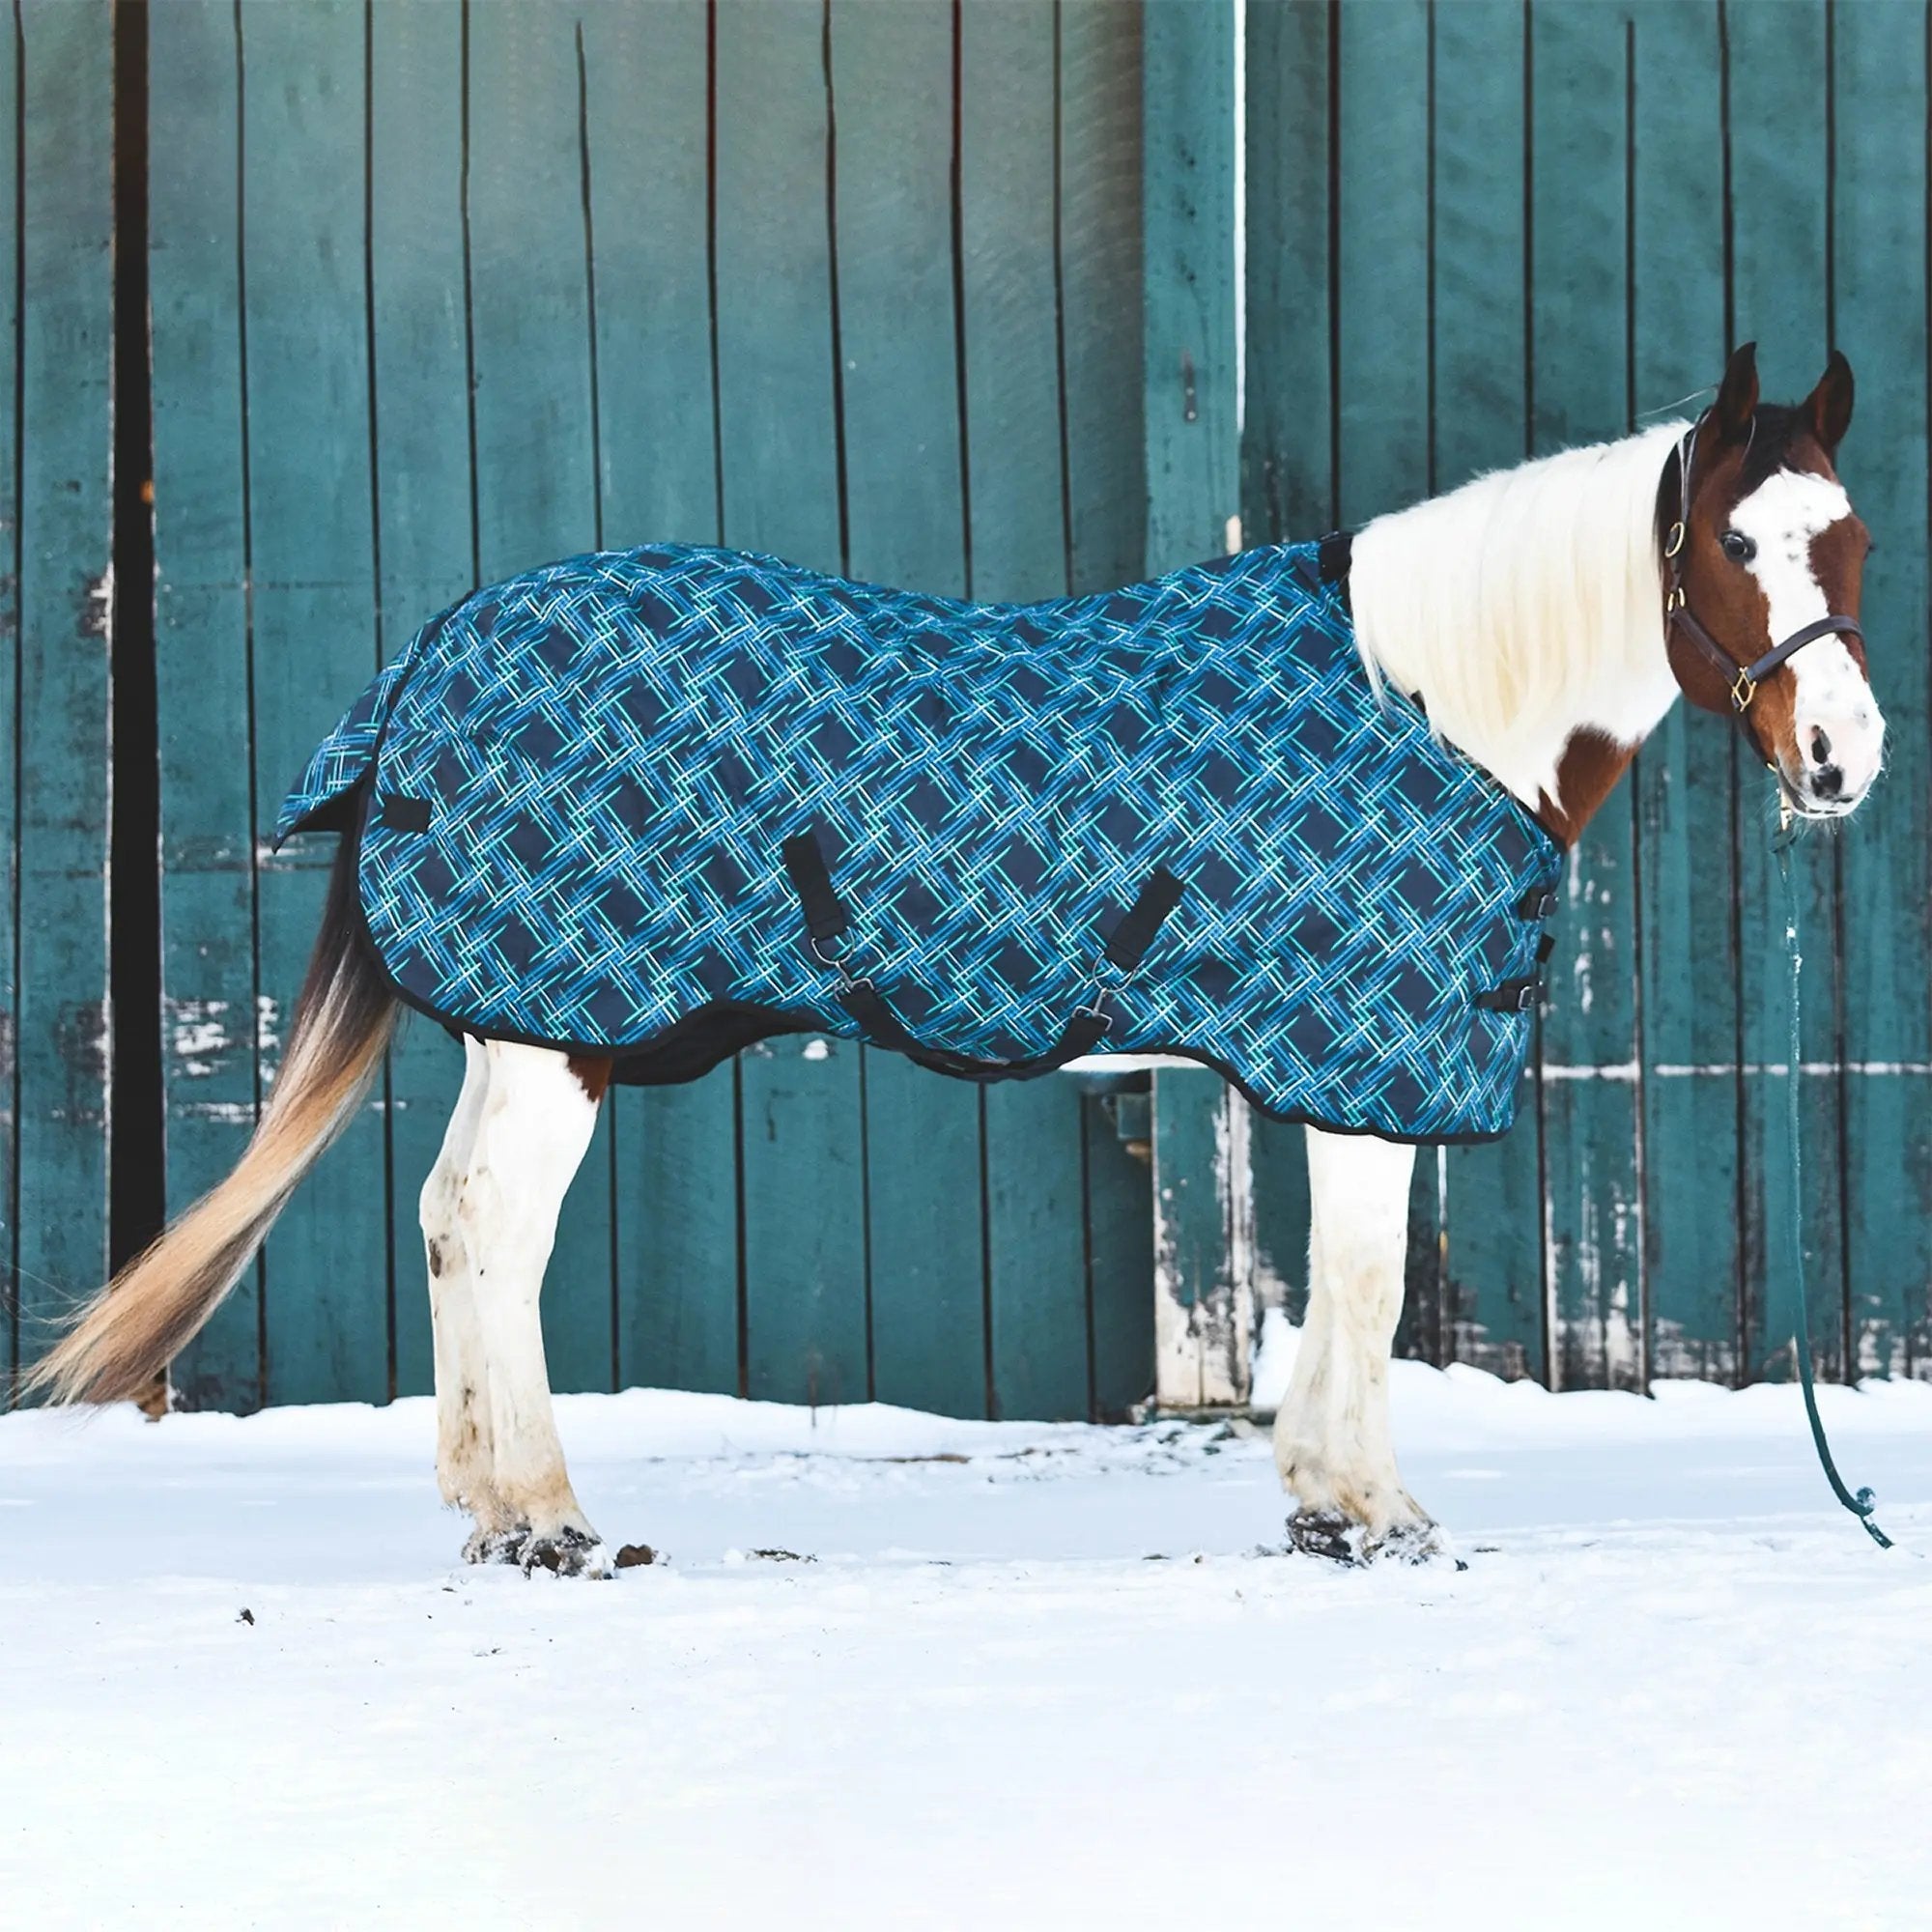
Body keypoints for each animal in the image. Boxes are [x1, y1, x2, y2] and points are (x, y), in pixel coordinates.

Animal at [27, 342, 1885, 1576]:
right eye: (1735, 546)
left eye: (1852, 540)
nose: (1844, 761)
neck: (1432, 705)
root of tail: (432, 658)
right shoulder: (1369, 1064)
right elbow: (1361, 1285)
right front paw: (1375, 1515)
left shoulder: (1339, 1068)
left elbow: (1335, 1288)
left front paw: (1327, 1499)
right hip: (565, 1030)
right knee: (492, 1232)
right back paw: (552, 1521)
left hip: (525, 1032)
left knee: (443, 1222)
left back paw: (494, 1511)